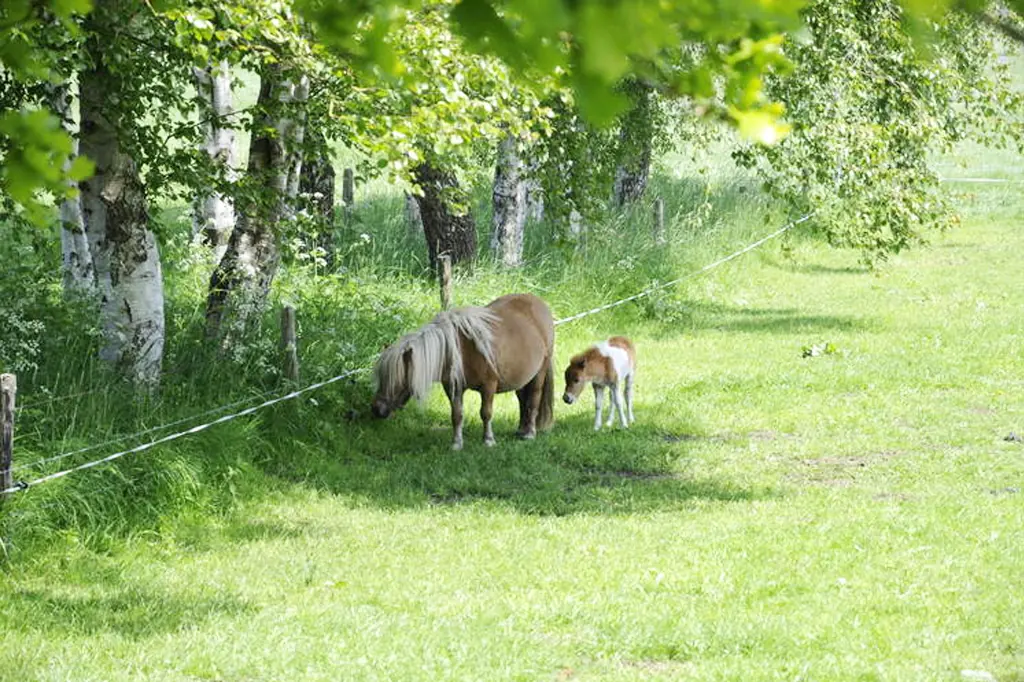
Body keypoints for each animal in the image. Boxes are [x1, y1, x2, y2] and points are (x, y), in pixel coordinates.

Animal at [371, 293, 555, 450]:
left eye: (396, 379)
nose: (376, 409)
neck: (461, 349)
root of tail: (539, 303)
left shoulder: (488, 386)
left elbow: (486, 413)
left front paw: (488, 440)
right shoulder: (453, 388)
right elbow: (457, 415)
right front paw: (457, 443)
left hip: (539, 373)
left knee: (533, 400)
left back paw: (529, 433)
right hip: (522, 378)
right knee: (522, 400)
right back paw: (521, 430)